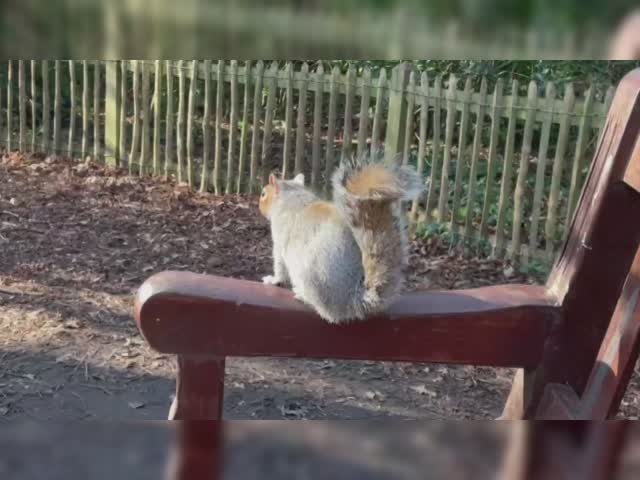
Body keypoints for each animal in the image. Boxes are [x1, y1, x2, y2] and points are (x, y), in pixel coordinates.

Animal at [258, 153, 424, 324]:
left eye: (263, 194)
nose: (259, 206)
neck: (292, 195)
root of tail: (353, 300)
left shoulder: (279, 239)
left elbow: (279, 266)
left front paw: (273, 279)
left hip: (310, 276)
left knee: (326, 311)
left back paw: (302, 296)